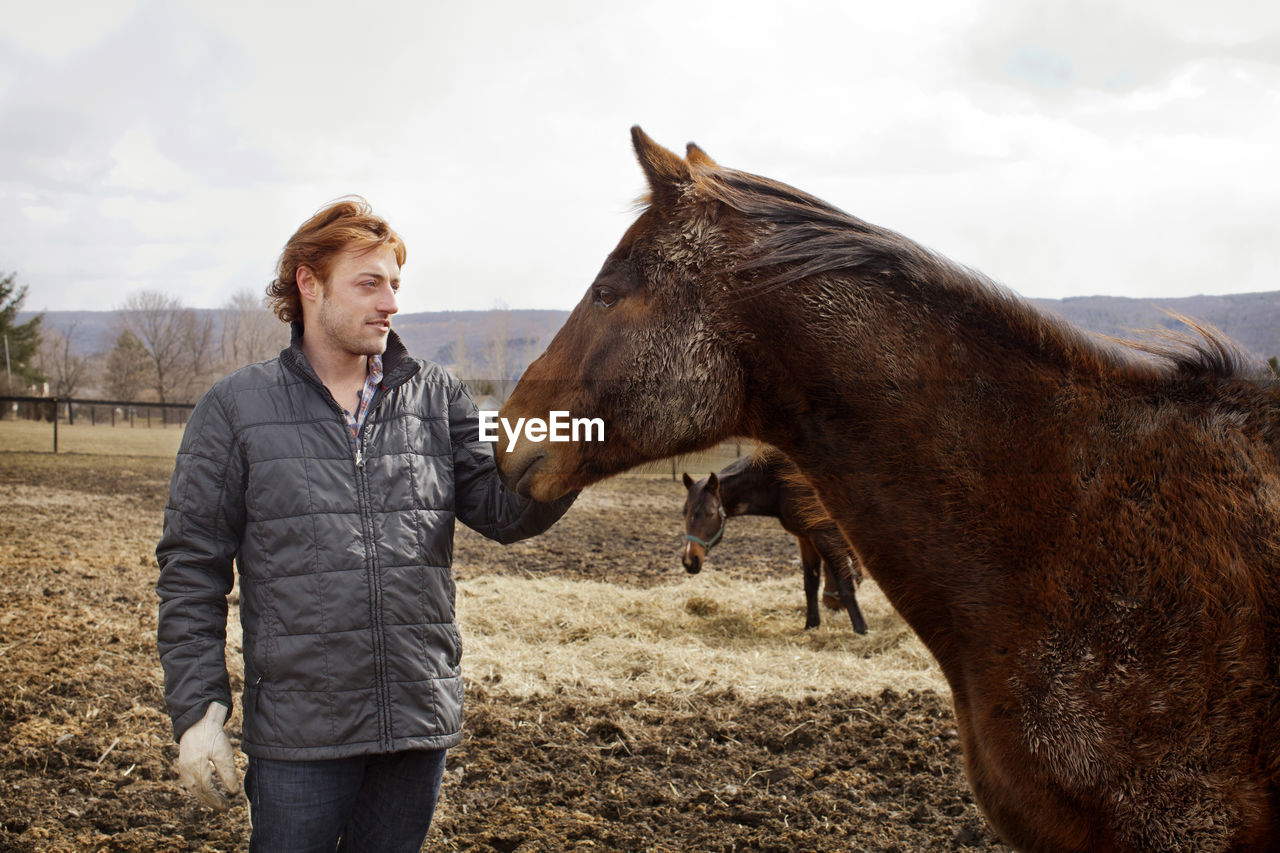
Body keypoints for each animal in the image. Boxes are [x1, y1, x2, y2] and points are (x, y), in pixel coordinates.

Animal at [680, 445, 870, 630]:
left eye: (711, 513)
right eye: (684, 512)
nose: (690, 560)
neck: (781, 483)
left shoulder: (825, 536)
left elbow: (845, 584)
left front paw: (861, 631)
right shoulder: (806, 538)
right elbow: (811, 583)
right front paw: (811, 625)